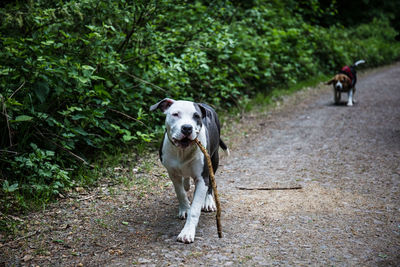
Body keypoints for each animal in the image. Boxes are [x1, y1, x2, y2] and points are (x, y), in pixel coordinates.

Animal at [150, 99, 228, 245]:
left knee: (211, 184)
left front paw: (187, 232)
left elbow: (195, 209)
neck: (182, 151)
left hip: (214, 160)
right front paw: (185, 208)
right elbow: (180, 192)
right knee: (185, 180)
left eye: (196, 116)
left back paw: (208, 201)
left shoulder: (202, 178)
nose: (187, 127)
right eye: (175, 114)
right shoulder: (172, 174)